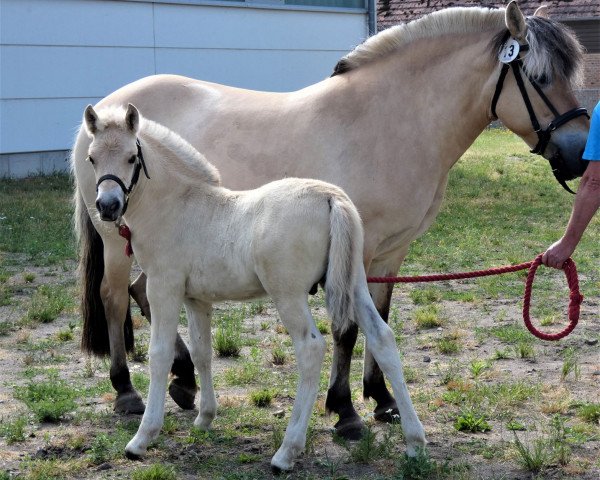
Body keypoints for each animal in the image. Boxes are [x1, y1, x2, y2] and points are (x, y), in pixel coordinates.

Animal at [81, 104, 426, 468]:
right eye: (92, 158)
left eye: (132, 157)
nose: (107, 206)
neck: (178, 205)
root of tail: (331, 198)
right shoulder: (196, 299)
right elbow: (203, 352)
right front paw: (204, 419)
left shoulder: (164, 289)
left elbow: (159, 355)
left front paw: (142, 439)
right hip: (355, 283)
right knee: (383, 338)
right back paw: (415, 442)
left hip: (288, 294)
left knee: (310, 348)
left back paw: (286, 452)